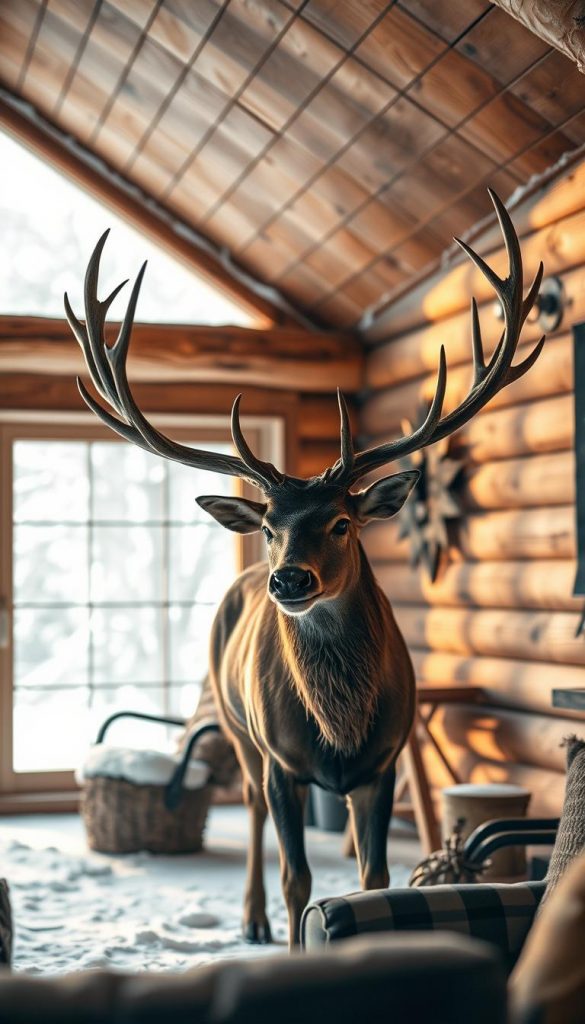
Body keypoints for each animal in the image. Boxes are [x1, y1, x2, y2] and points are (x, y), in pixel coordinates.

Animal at [65, 190, 544, 948]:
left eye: (342, 523)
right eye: (269, 527)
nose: (289, 580)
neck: (338, 731)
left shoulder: (382, 764)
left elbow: (374, 877)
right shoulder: (282, 762)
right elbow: (298, 878)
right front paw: (289, 938)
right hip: (239, 731)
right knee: (253, 812)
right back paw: (252, 919)